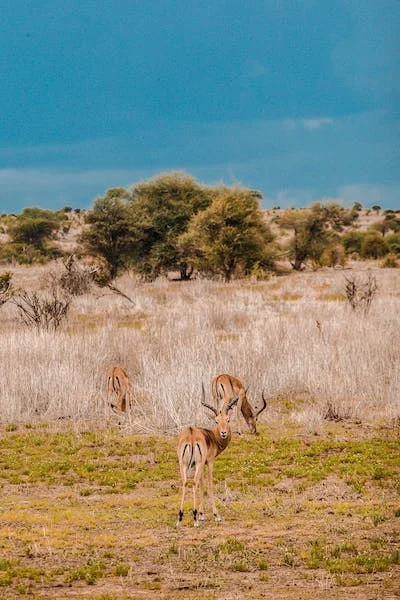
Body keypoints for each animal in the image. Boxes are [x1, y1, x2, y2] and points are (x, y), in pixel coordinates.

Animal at [177, 382, 239, 528]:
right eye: (216, 421)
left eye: (228, 420)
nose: (223, 433)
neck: (211, 437)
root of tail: (191, 434)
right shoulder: (209, 462)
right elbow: (209, 485)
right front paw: (215, 515)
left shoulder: (197, 465)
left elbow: (202, 485)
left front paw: (201, 514)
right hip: (197, 464)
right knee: (193, 483)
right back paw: (194, 519)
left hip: (183, 464)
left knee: (185, 483)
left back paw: (180, 518)